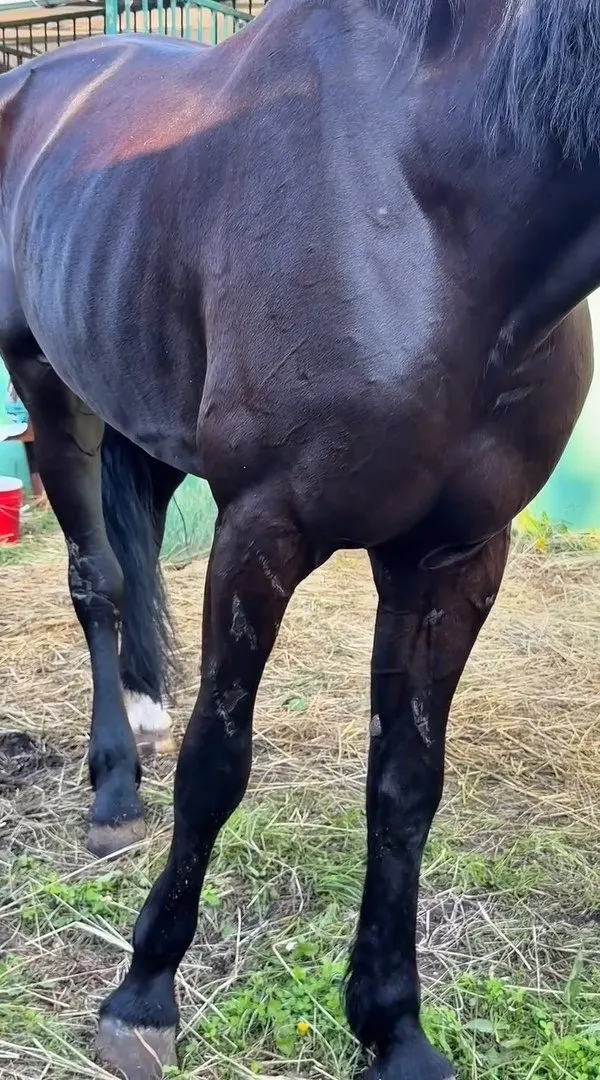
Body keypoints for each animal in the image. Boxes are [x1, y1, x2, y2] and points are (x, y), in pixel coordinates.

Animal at [0, 0, 596, 1075]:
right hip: (45, 385)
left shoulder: (455, 557)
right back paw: (114, 788)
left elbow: (405, 786)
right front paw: (144, 994)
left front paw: (393, 1023)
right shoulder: (262, 530)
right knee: (98, 579)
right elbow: (215, 766)